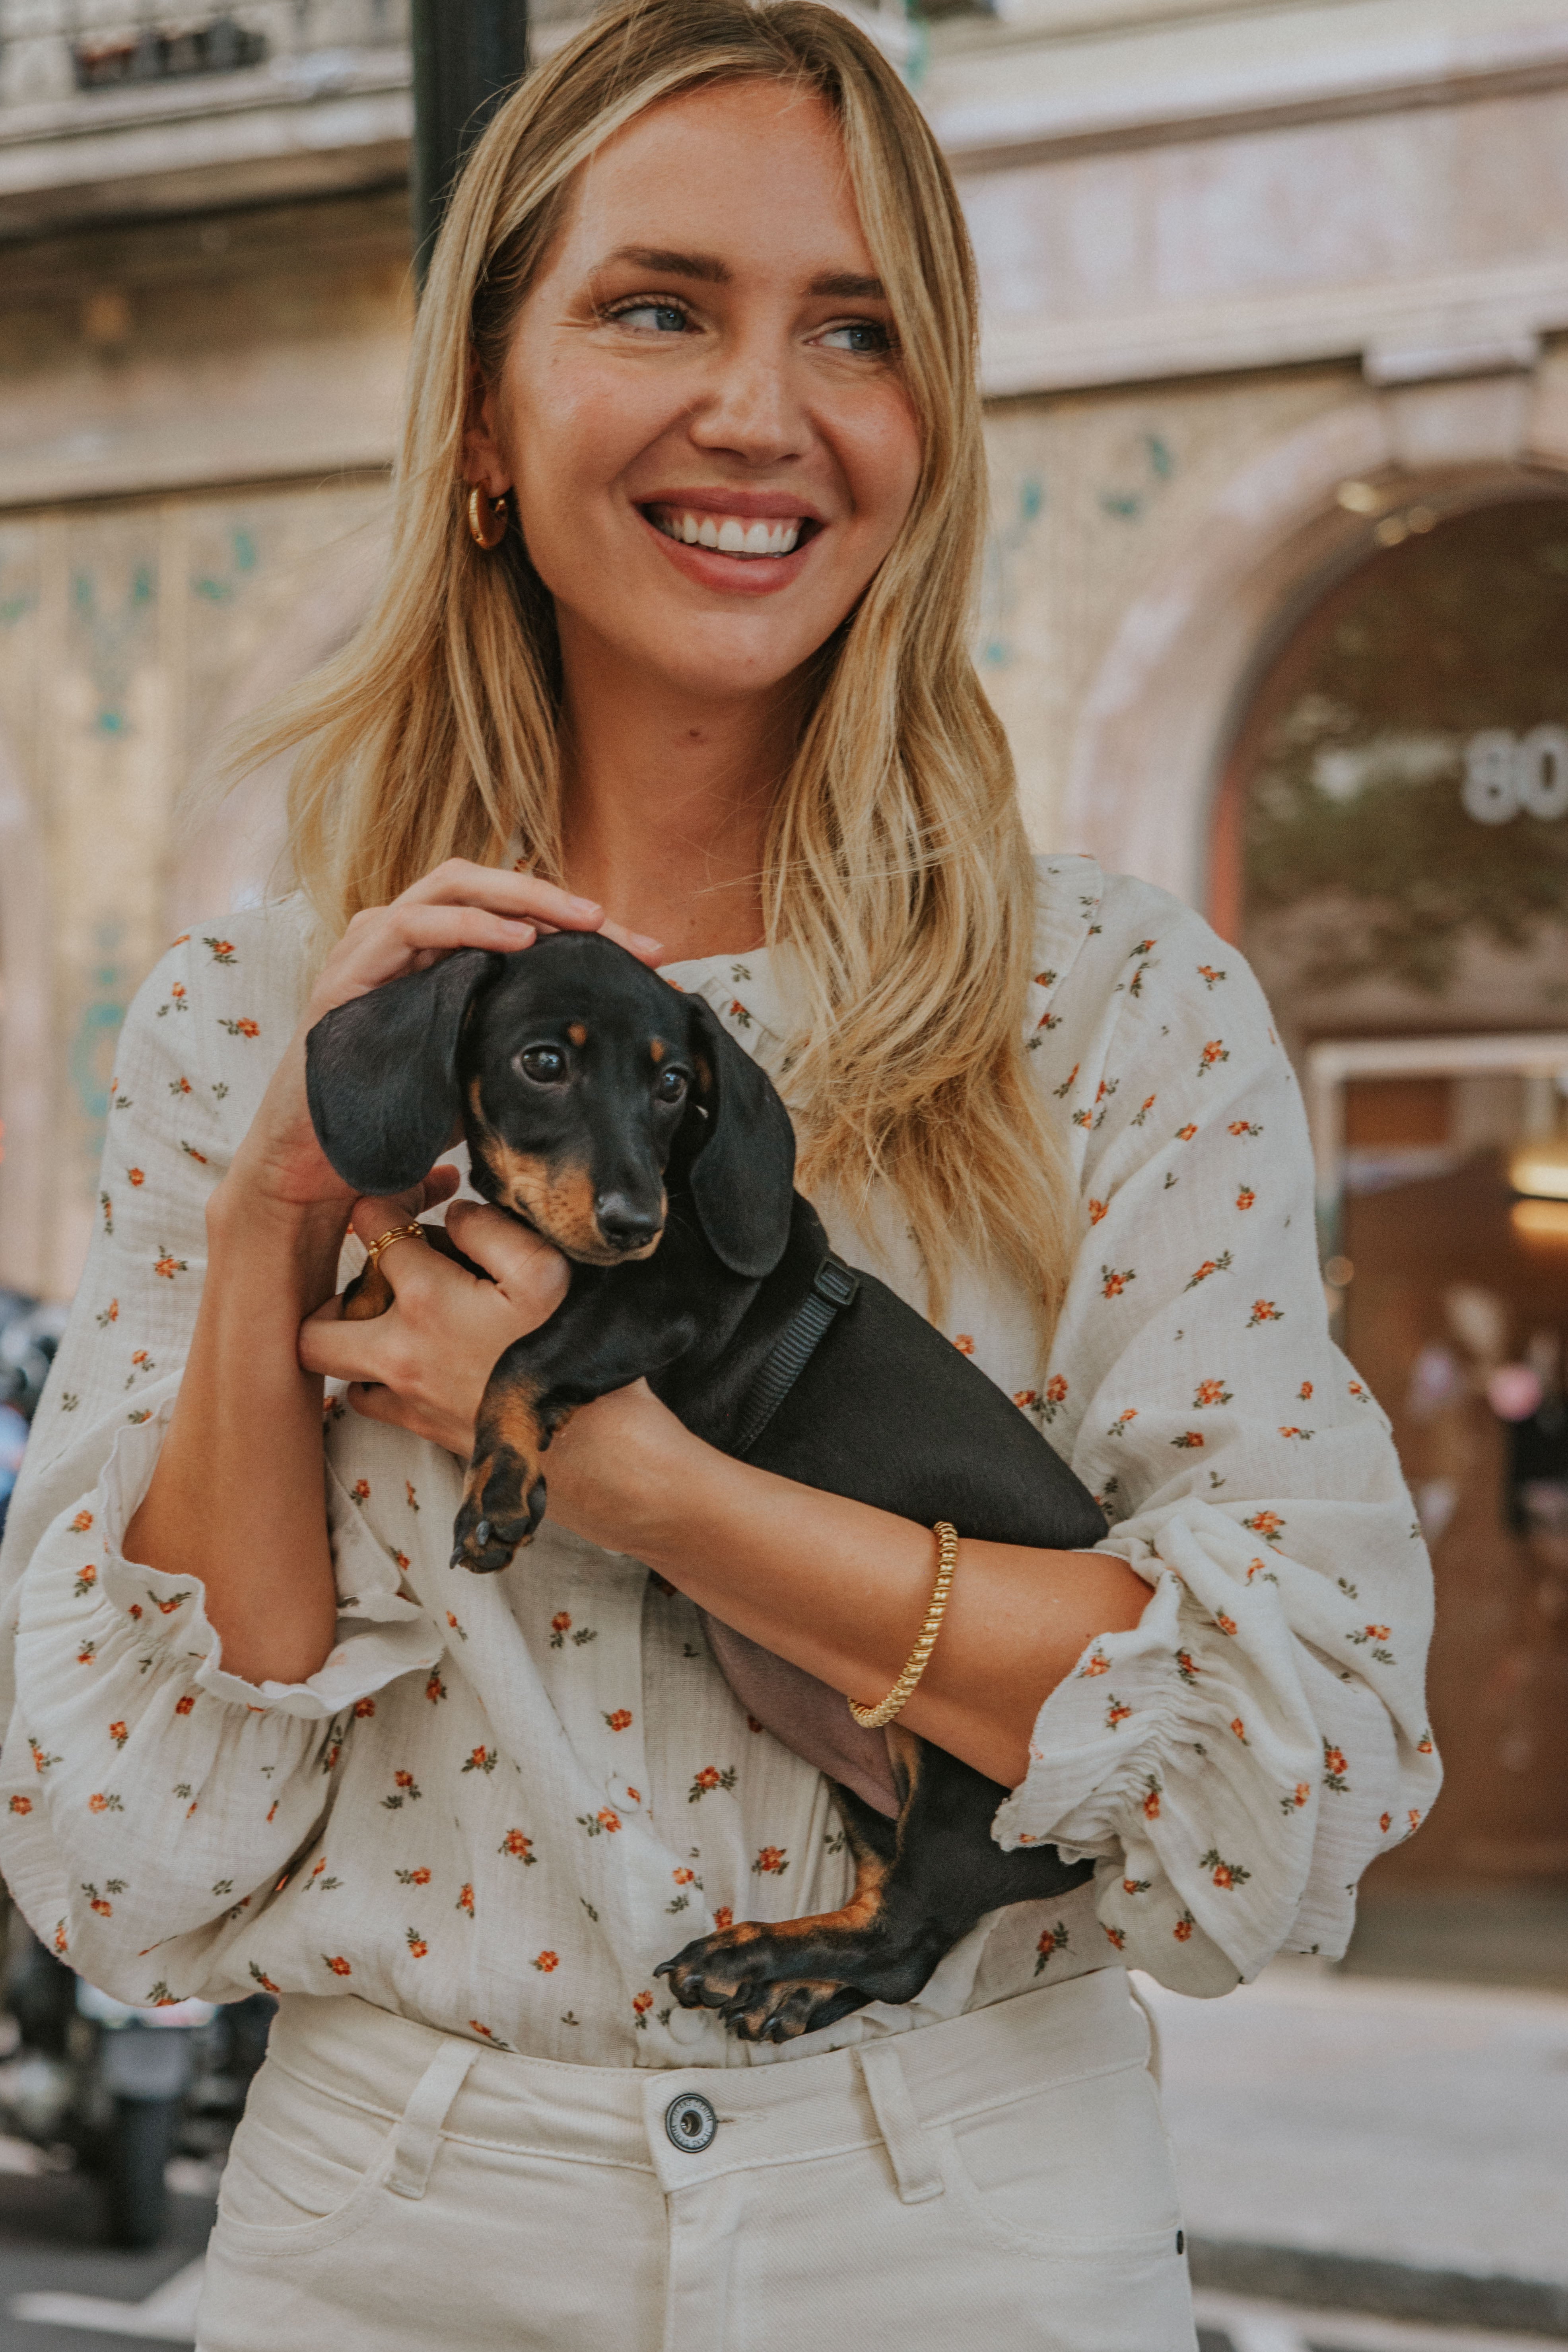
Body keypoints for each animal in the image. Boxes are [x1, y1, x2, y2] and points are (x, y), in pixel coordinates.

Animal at [305, 936, 1105, 2041]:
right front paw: (361, 1298)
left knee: (904, 1937)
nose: (634, 1218)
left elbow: (519, 1354)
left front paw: (500, 1486)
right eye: (543, 1062)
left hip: (962, 1773)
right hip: (879, 1788)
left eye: (675, 1084)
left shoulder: (662, 1296)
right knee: (894, 1920)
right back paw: (790, 1984)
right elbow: (419, 1260)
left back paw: (744, 1956)